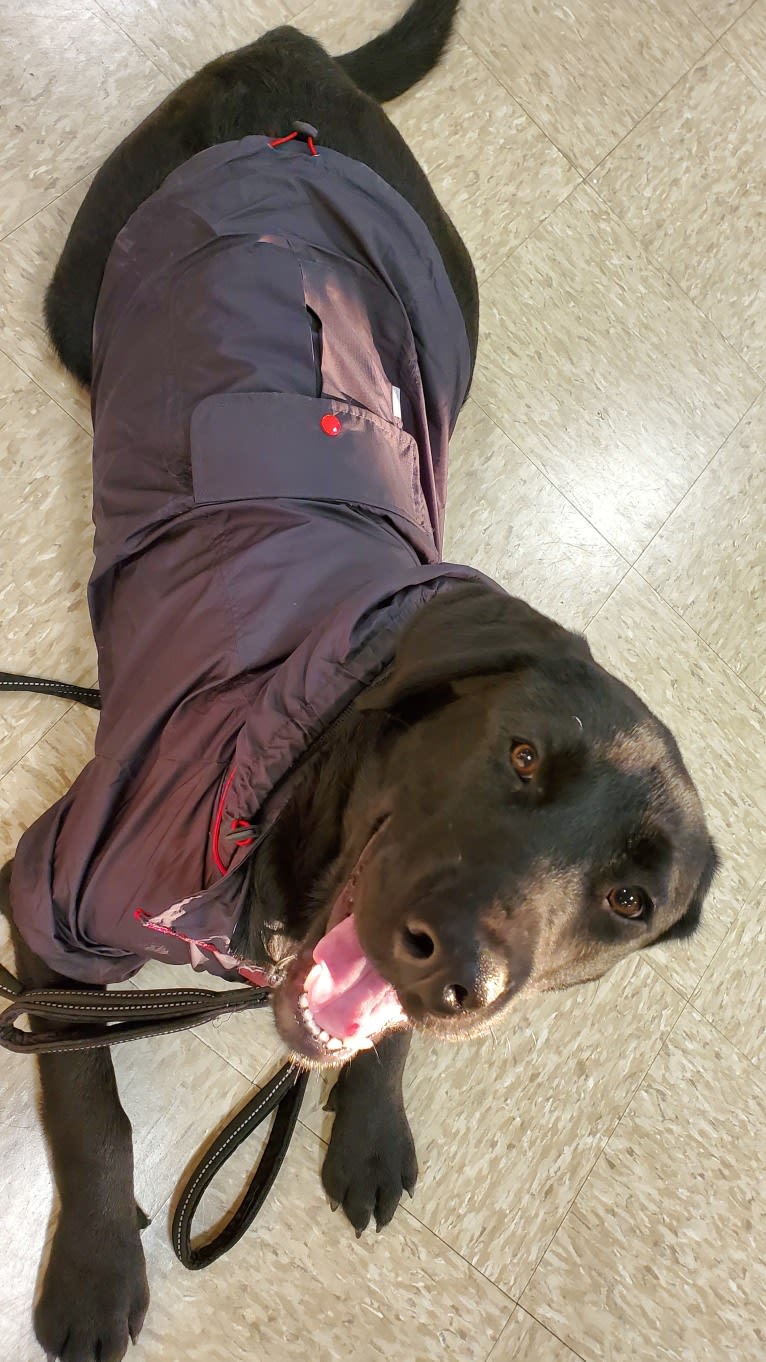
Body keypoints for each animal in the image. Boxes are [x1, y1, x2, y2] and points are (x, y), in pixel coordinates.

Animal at [5, 5, 714, 1356]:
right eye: (522, 751)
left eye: (629, 904)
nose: (457, 969)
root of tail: (295, 68)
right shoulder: (48, 896)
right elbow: (86, 1102)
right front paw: (91, 1271)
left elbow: (377, 1037)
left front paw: (375, 1123)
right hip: (86, 293)